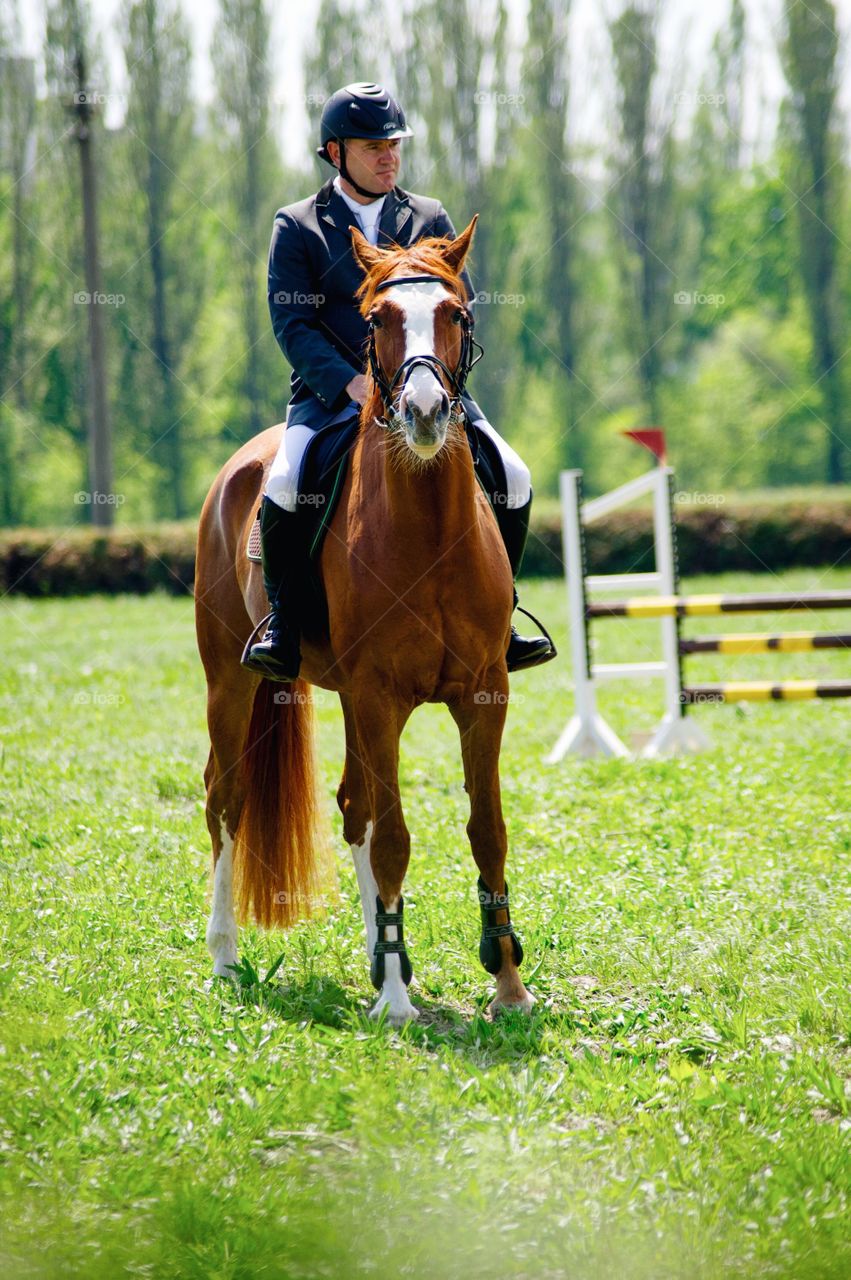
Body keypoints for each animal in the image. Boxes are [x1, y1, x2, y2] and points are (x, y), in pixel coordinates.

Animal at [195, 217, 534, 1018]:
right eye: (376, 318)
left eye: (457, 314)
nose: (424, 413)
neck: (429, 526)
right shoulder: (380, 697)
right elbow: (395, 838)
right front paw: (396, 1004)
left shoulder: (484, 693)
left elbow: (486, 829)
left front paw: (506, 983)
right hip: (232, 680)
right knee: (226, 798)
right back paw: (226, 959)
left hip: (344, 695)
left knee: (353, 805)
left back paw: (382, 956)